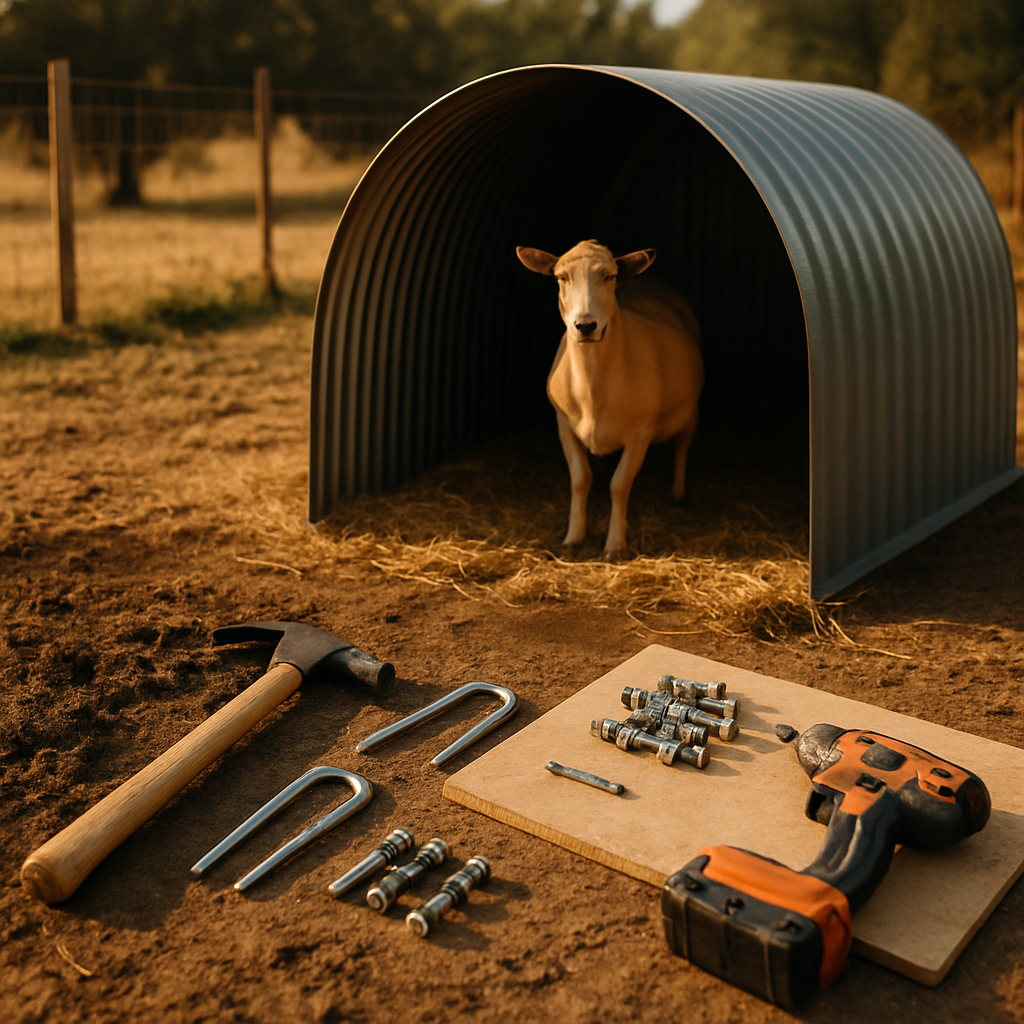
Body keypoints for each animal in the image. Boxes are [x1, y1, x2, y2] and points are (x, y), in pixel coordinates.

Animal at [517, 239, 704, 560]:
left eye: (610, 276)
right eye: (561, 277)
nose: (585, 326)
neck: (592, 388)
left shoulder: (641, 431)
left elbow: (619, 485)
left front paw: (615, 545)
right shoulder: (563, 424)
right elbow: (580, 479)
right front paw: (573, 538)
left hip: (690, 410)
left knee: (683, 444)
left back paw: (678, 493)